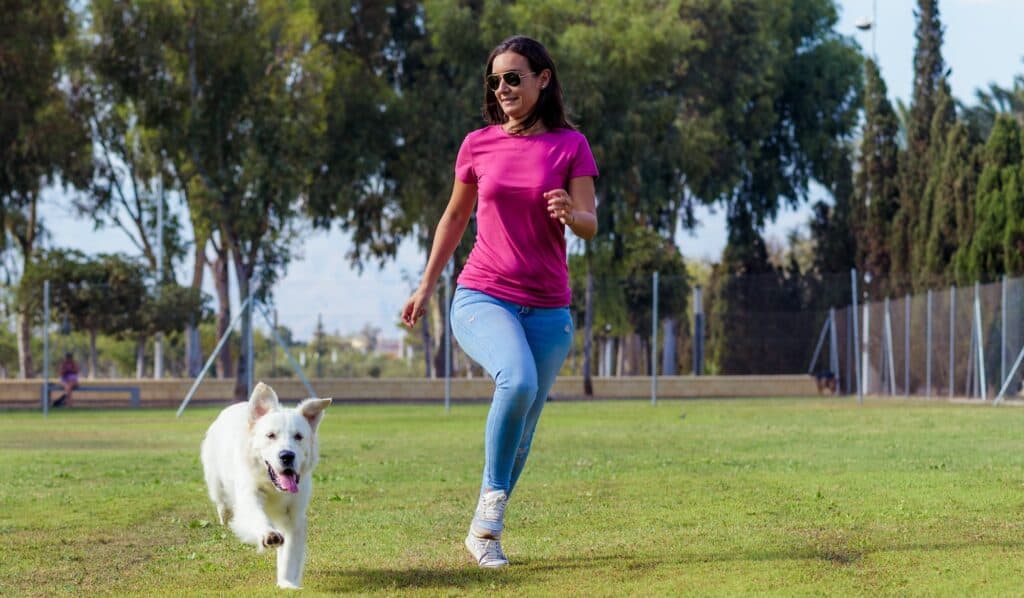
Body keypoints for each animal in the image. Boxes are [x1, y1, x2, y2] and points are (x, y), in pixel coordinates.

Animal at [197, 382, 329, 589]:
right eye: (271, 435)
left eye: (298, 436)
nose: (287, 456)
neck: (273, 487)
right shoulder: (249, 497)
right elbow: (257, 518)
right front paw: (269, 535)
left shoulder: (294, 517)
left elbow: (289, 554)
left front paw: (287, 582)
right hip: (215, 482)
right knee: (222, 503)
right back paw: (225, 515)